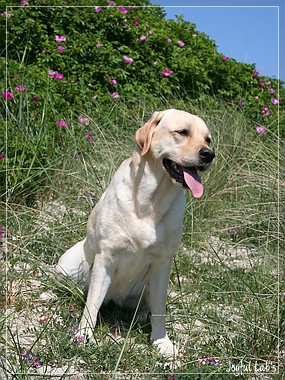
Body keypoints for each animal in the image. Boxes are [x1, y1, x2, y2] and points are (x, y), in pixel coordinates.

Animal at [55, 109, 213, 356]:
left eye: (208, 139)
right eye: (182, 132)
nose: (209, 155)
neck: (152, 201)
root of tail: (114, 298)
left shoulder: (162, 264)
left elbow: (159, 309)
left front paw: (161, 340)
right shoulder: (106, 257)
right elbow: (92, 304)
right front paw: (84, 335)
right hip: (68, 263)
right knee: (86, 292)